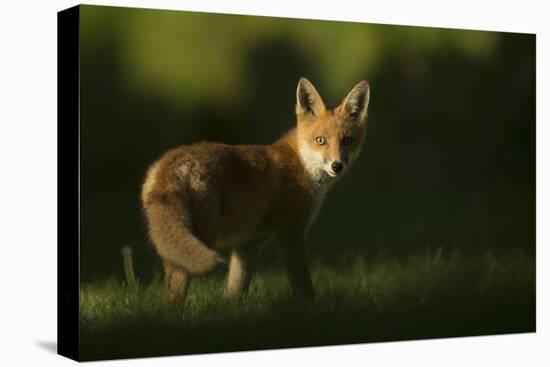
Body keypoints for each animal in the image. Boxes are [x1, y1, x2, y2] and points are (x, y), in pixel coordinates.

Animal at [141, 77, 370, 302]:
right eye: (320, 141)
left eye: (347, 141)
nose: (337, 166)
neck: (301, 162)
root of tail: (168, 164)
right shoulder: (290, 232)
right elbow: (303, 284)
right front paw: (309, 305)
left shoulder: (248, 243)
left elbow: (236, 288)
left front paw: (232, 307)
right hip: (202, 234)